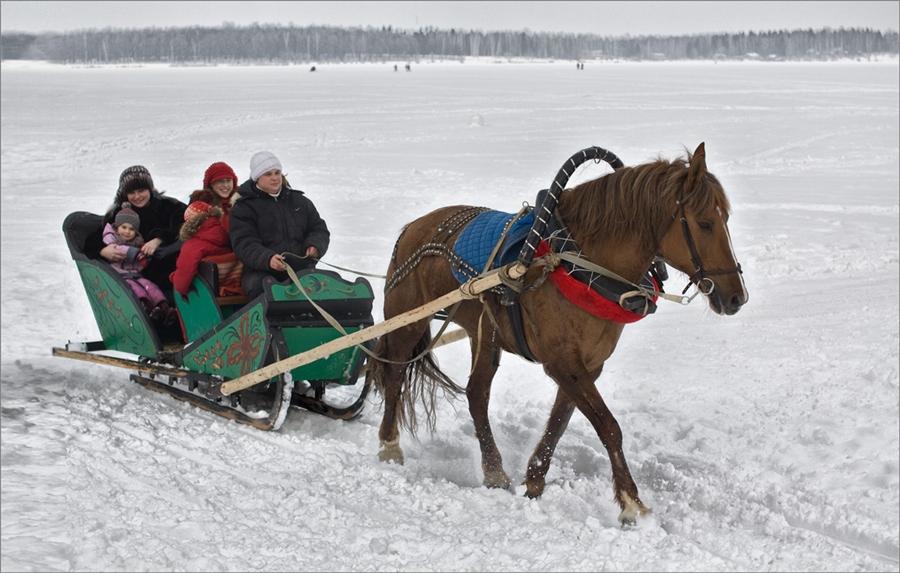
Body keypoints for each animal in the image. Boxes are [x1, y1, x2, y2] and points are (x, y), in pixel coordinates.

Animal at [370, 142, 748, 524]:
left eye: (727, 219)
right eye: (705, 223)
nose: (736, 297)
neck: (580, 266)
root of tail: (413, 227)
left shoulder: (587, 365)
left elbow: (560, 421)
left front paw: (535, 480)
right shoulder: (562, 362)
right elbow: (609, 426)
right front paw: (631, 502)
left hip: (485, 333)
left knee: (476, 394)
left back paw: (494, 472)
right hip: (407, 320)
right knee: (395, 375)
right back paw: (389, 446)